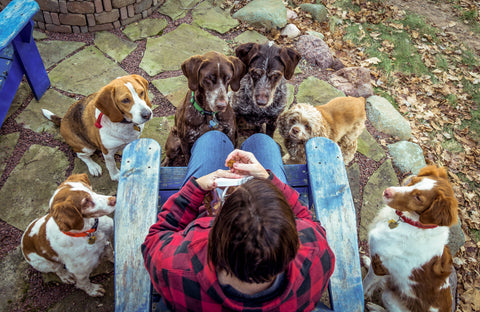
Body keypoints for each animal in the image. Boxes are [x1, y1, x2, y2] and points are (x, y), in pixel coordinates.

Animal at [364, 166, 458, 312]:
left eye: (418, 198)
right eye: (414, 180)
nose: (387, 191)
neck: (413, 223)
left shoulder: (380, 265)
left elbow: (365, 283)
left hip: (388, 297)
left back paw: (375, 307)